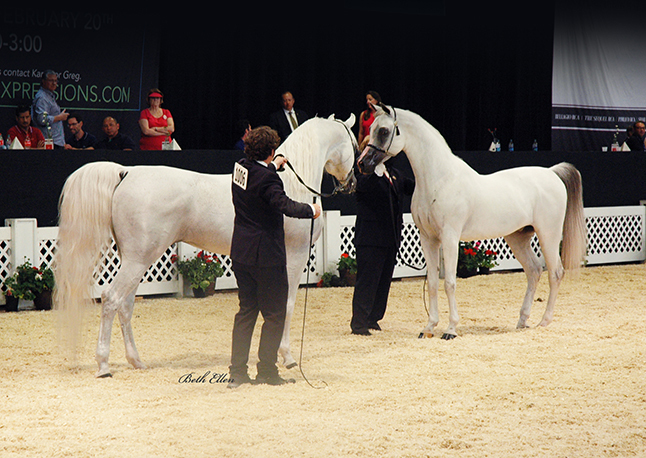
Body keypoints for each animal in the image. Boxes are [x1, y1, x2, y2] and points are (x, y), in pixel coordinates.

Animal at [55, 114, 358, 377]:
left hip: (136, 260)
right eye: (355, 144)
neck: (291, 183)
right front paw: (288, 357)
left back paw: (136, 360)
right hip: (138, 260)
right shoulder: (294, 257)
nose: (352, 182)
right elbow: (287, 304)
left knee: (125, 305)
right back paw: (103, 365)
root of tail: (125, 172)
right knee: (111, 300)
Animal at [357, 105, 587, 339]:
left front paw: (450, 329)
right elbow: (432, 283)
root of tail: (552, 173)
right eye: (372, 129)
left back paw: (544, 321)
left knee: (555, 273)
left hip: (548, 235)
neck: (440, 179)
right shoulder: (428, 239)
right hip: (518, 237)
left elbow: (449, 283)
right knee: (534, 271)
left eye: (384, 131)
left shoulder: (449, 238)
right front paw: (429, 328)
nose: (362, 164)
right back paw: (522, 321)